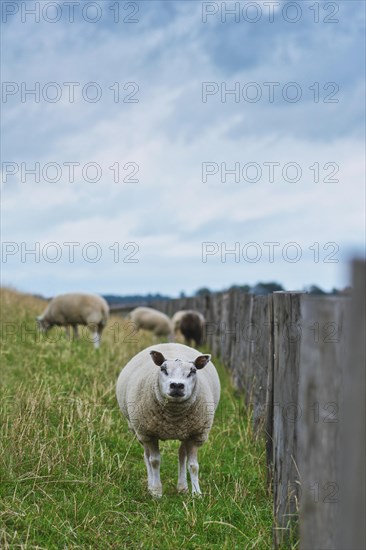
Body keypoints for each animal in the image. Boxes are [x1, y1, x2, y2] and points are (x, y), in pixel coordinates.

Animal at [116, 342, 220, 498]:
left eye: (193, 371)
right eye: (163, 369)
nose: (177, 385)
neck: (173, 417)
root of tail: (171, 343)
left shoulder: (195, 435)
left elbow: (194, 466)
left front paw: (196, 493)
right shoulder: (149, 434)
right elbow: (154, 461)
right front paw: (156, 492)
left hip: (184, 432)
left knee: (182, 455)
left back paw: (182, 487)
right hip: (138, 431)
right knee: (146, 456)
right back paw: (150, 485)